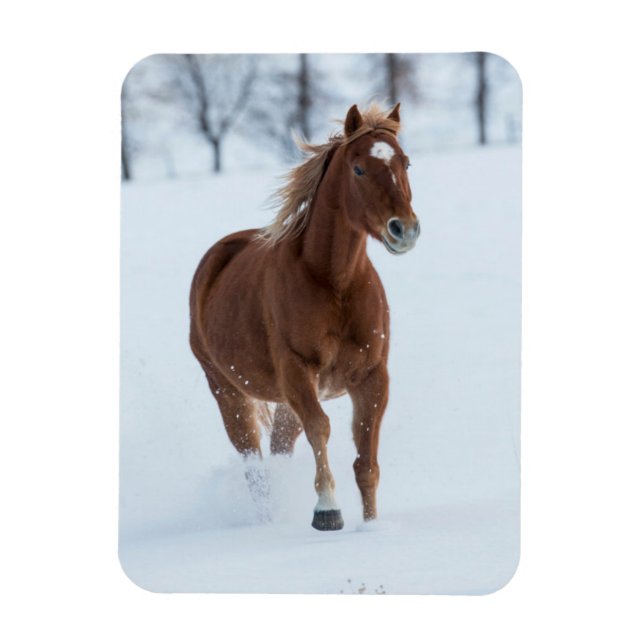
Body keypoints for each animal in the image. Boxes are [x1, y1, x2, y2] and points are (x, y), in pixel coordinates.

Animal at [189, 103, 420, 531]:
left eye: (406, 163)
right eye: (358, 169)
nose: (405, 230)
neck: (334, 281)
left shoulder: (372, 377)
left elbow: (366, 460)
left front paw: (371, 526)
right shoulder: (297, 371)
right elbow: (321, 429)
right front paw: (327, 512)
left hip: (282, 402)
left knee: (279, 448)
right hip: (228, 392)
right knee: (254, 463)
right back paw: (266, 522)